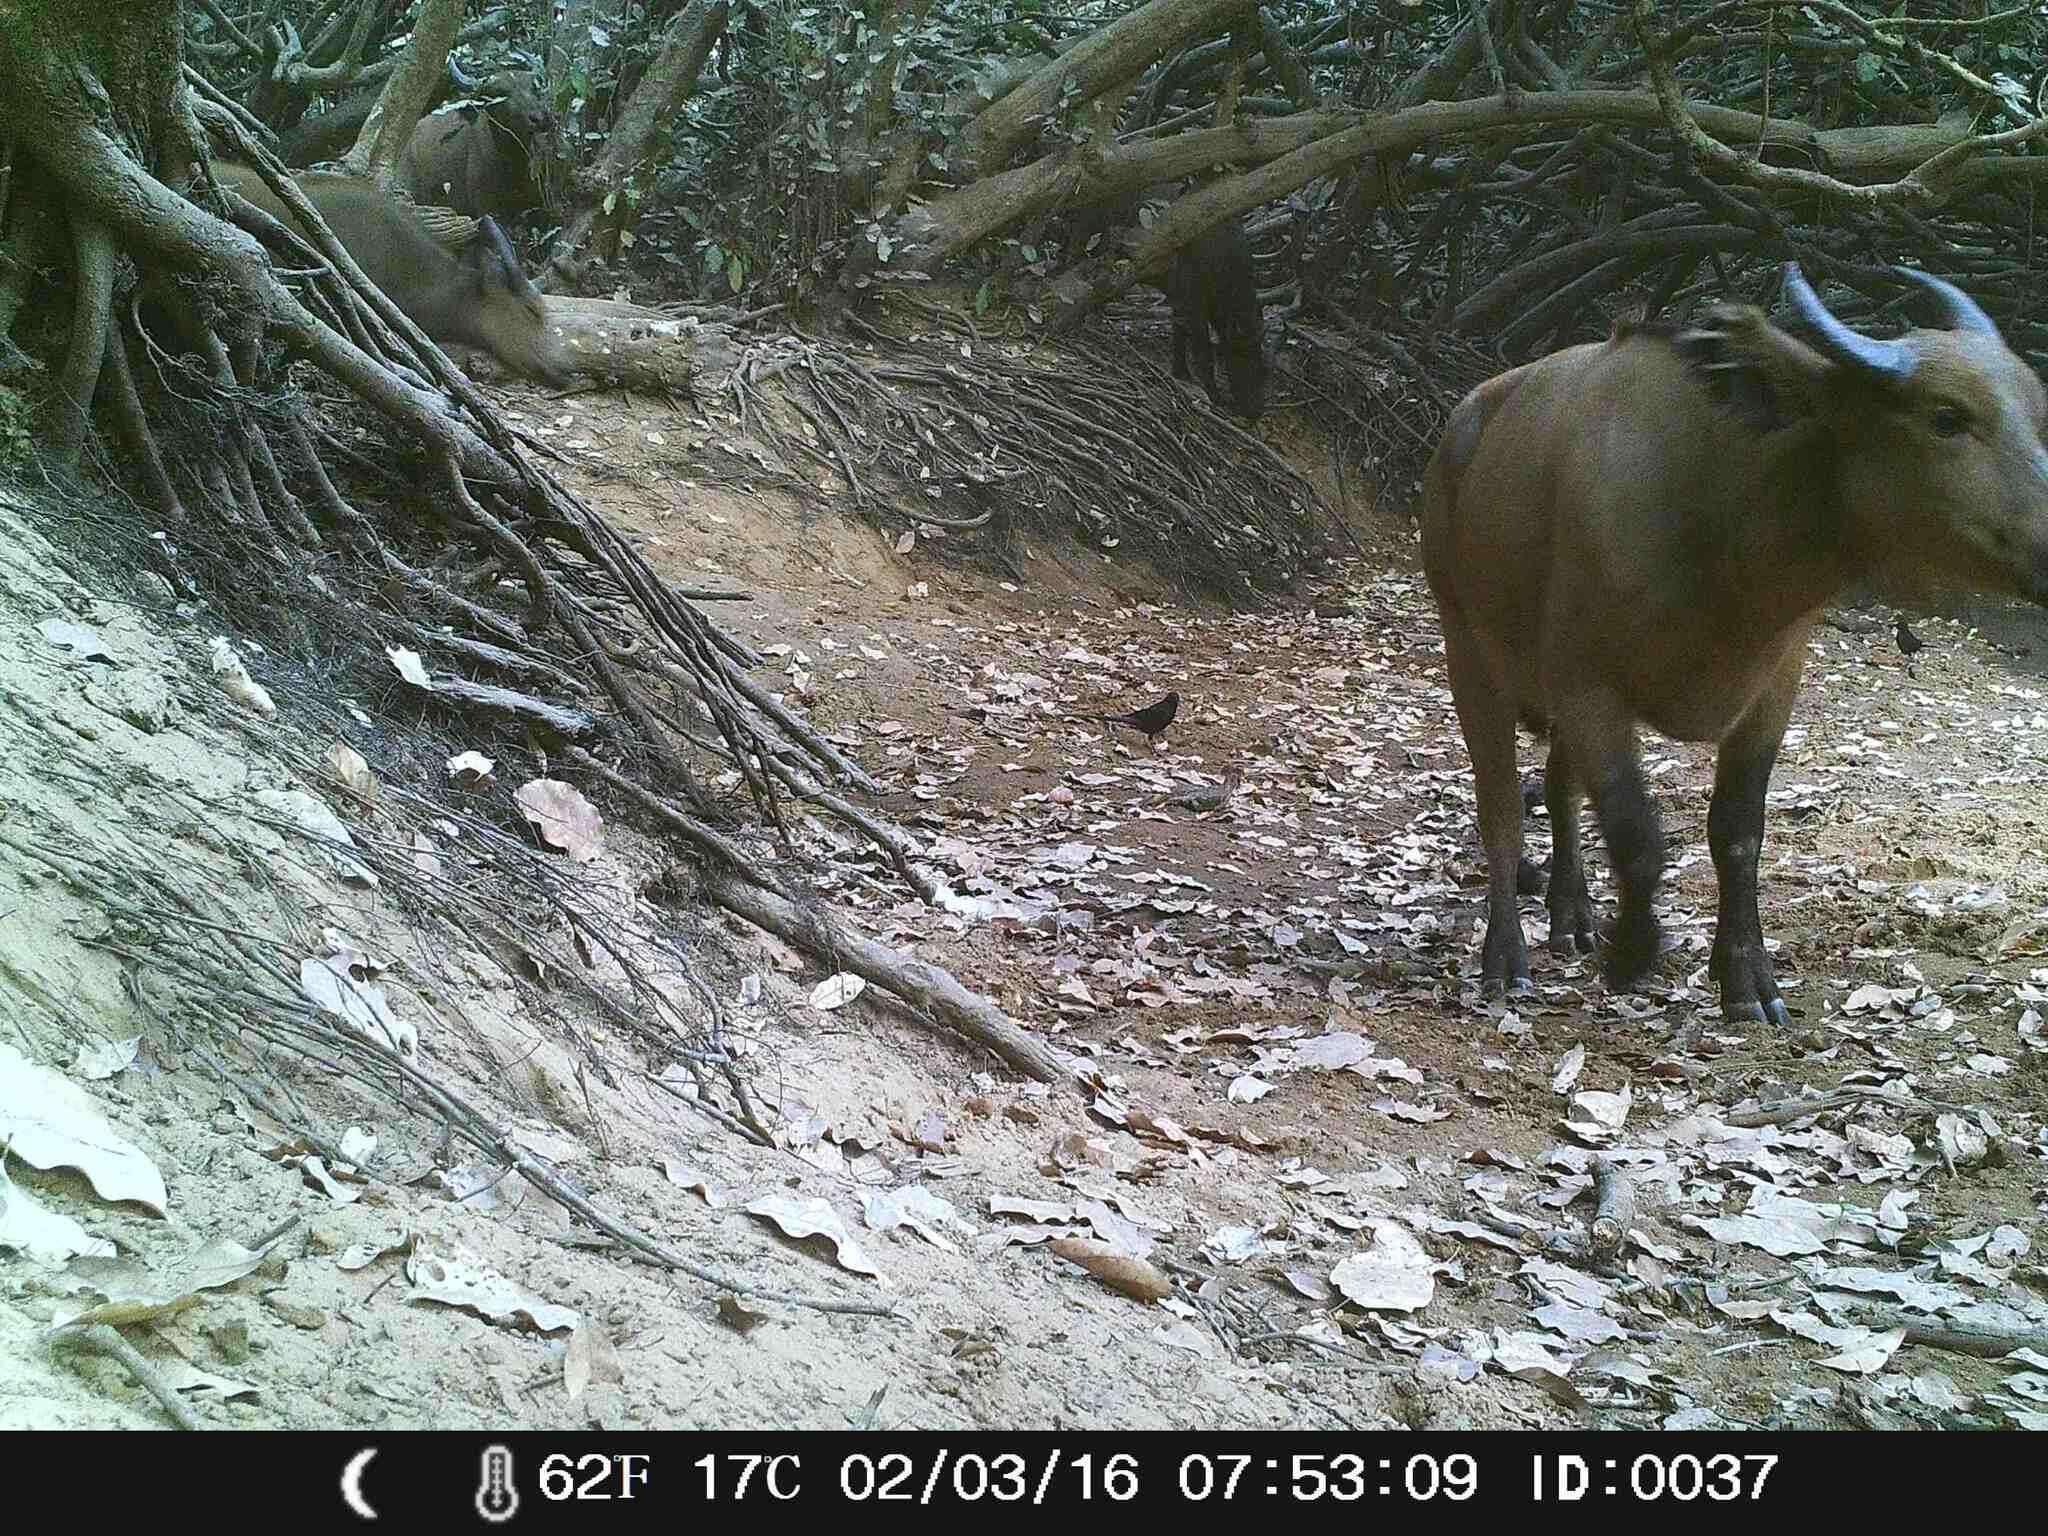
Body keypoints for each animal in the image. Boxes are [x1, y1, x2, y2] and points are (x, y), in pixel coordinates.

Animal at [1425, 268, 2048, 1024]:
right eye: (1947, 416)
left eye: (2038, 414)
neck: (1718, 519)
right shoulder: (1589, 688)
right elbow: (1636, 835)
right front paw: (1633, 953)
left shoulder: (1772, 692)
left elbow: (1737, 833)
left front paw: (1746, 977)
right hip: (1467, 650)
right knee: (1503, 806)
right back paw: (1507, 955)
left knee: (1557, 783)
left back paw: (1571, 912)